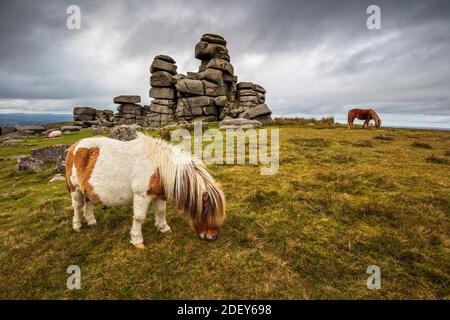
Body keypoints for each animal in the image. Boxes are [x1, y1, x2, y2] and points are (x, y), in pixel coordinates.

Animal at [64, 131, 225, 249]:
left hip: (88, 189)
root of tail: (74, 146)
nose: (212, 236)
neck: (159, 166)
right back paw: (77, 225)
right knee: (77, 206)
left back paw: (91, 222)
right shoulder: (142, 195)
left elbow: (161, 212)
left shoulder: (160, 194)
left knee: (88, 204)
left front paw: (164, 228)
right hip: (75, 189)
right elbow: (139, 218)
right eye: (206, 211)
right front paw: (137, 241)